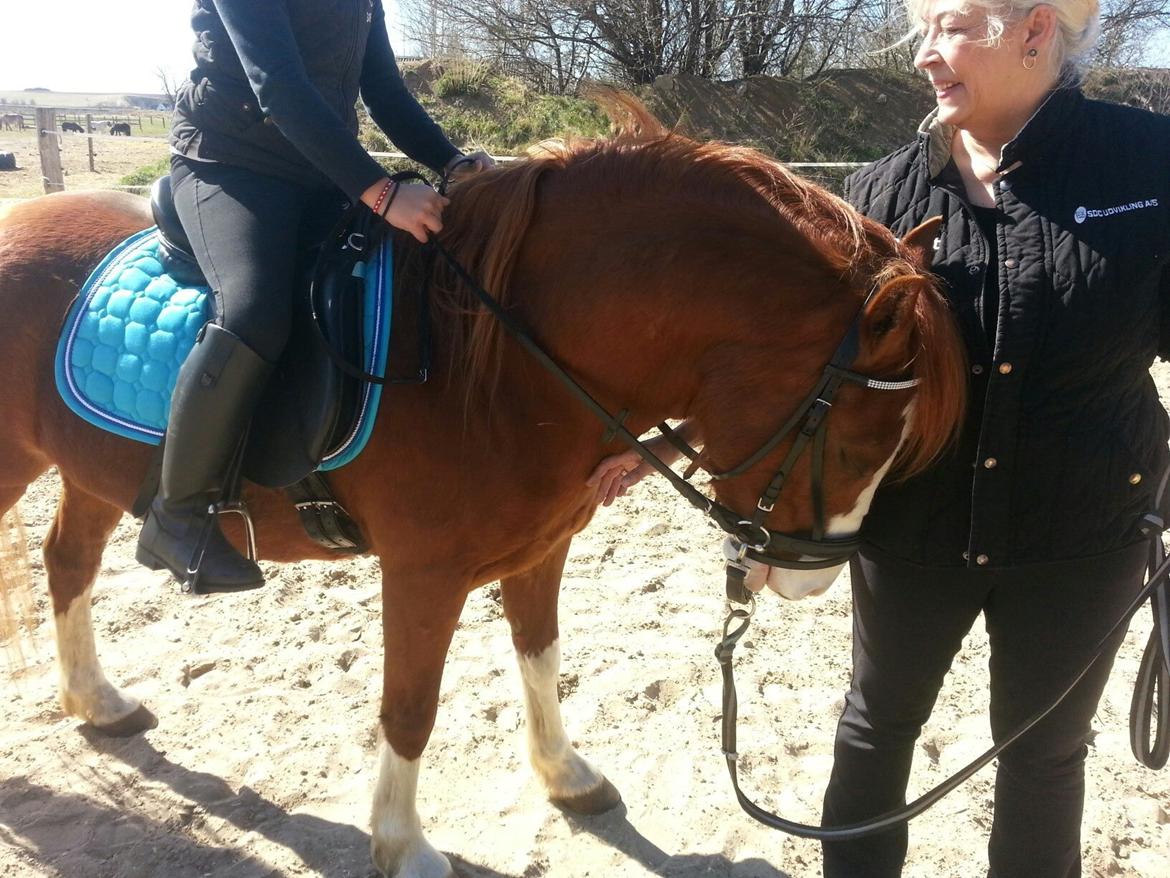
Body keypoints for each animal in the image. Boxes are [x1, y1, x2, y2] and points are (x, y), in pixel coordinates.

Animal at [0, 109, 967, 877]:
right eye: (857, 438)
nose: (811, 578)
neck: (500, 358)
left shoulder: (541, 548)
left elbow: (541, 656)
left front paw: (566, 777)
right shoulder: (421, 575)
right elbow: (410, 708)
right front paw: (403, 847)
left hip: (90, 471)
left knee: (67, 562)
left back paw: (99, 704)